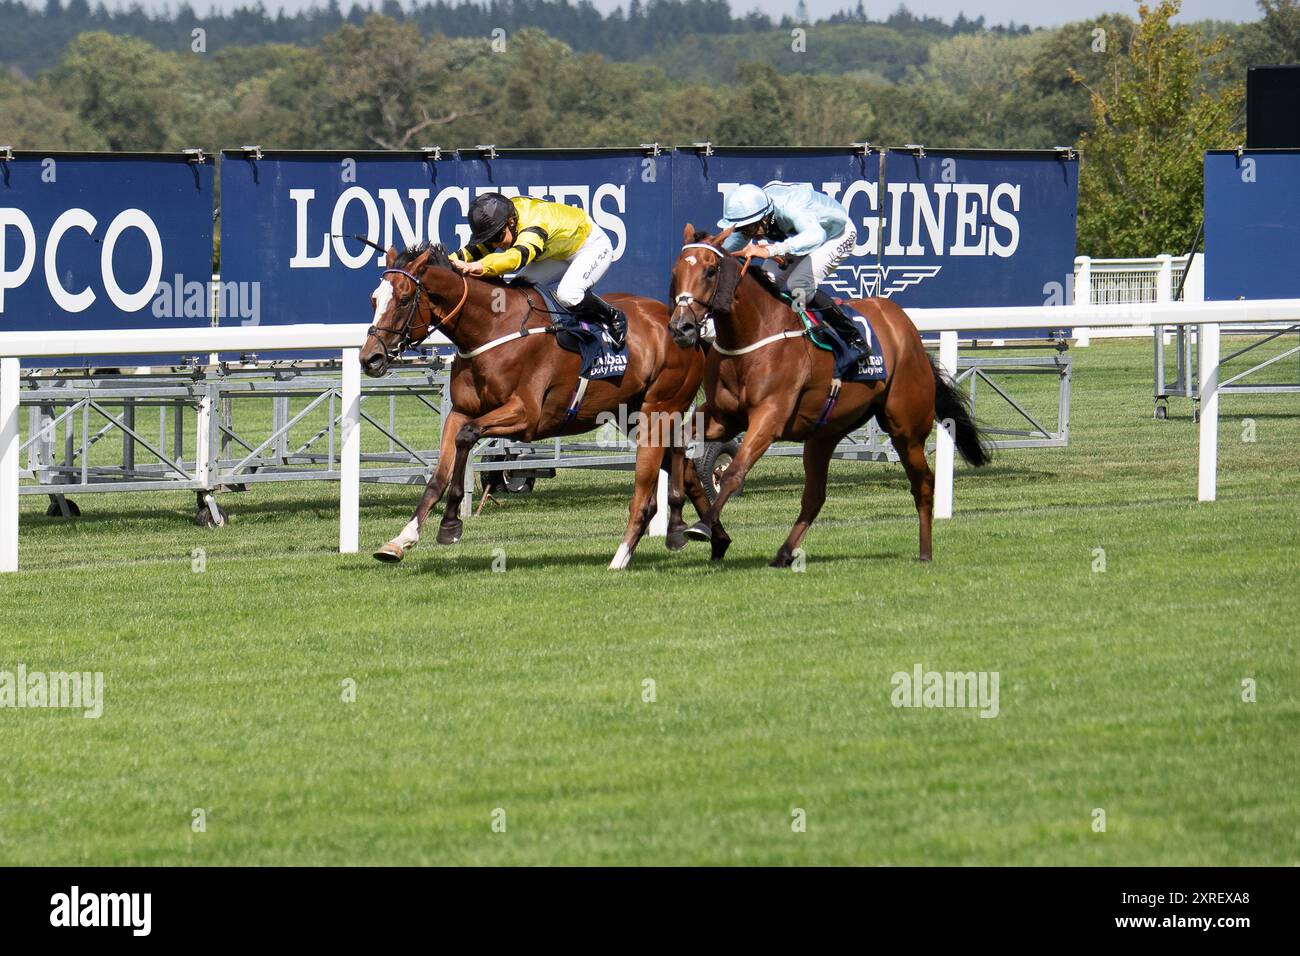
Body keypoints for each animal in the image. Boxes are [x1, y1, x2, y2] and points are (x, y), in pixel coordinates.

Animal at [358, 244, 712, 567]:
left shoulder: (527, 416)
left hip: (661, 406)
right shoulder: (460, 412)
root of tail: (683, 325)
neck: (491, 328)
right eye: (374, 299)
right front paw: (401, 539)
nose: (369, 358)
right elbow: (439, 475)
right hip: (632, 414)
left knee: (677, 456)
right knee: (683, 462)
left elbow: (467, 436)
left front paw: (450, 524)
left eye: (404, 300)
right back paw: (697, 530)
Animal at [665, 227, 987, 564]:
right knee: (815, 496)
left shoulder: (769, 417)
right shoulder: (723, 416)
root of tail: (905, 327)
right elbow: (678, 444)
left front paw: (701, 526)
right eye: (676, 272)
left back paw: (925, 553)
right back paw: (784, 554)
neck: (754, 333)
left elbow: (733, 473)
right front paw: (675, 526)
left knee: (923, 483)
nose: (681, 327)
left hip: (906, 427)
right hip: (824, 434)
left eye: (710, 271)